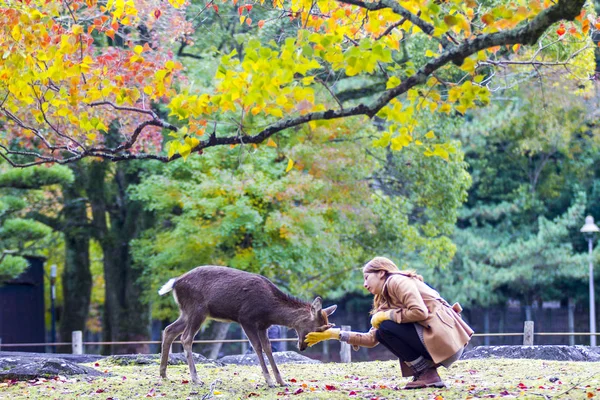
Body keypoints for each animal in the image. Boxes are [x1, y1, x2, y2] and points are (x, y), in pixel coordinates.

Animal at [157, 266, 336, 388]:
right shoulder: (246, 318)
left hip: (187, 312)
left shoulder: (263, 325)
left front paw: (282, 381)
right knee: (186, 337)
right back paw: (196, 378)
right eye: (317, 329)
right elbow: (257, 347)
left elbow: (268, 348)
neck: (270, 310)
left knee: (169, 330)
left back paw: (163, 374)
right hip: (197, 309)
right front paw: (269, 381)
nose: (303, 347)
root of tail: (175, 283)